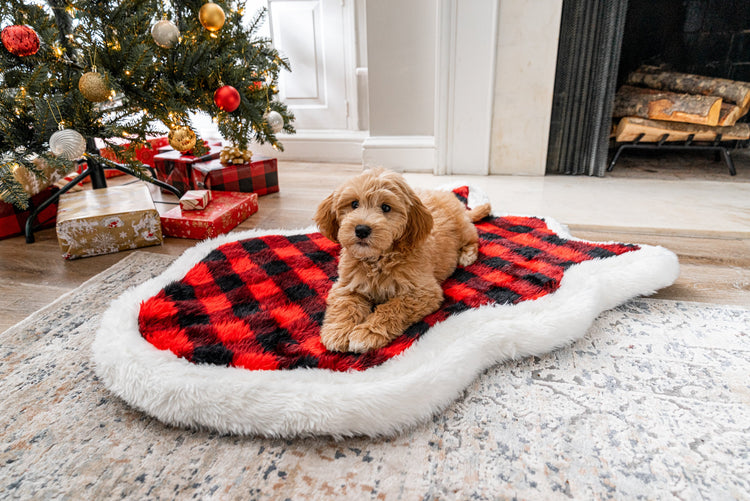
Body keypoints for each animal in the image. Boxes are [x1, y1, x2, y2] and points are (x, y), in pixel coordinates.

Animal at [312, 168, 494, 352]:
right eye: (354, 204)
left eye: (386, 207)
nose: (361, 229)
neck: (378, 259)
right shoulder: (347, 285)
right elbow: (344, 305)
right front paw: (337, 331)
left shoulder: (424, 292)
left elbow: (393, 308)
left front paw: (367, 333)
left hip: (463, 229)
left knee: (474, 238)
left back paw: (467, 255)